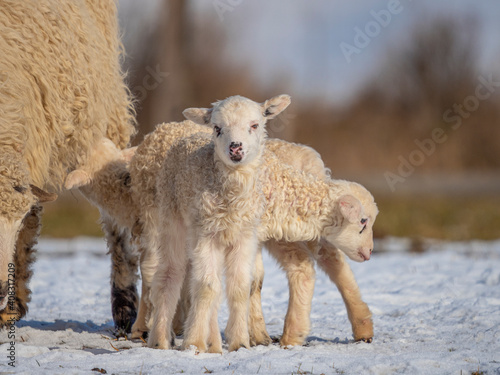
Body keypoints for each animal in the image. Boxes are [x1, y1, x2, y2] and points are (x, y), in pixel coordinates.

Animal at [146, 95, 292, 354]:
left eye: (254, 125)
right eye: (217, 128)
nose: (235, 147)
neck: (231, 198)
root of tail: (189, 135)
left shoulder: (245, 236)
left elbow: (240, 288)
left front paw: (239, 342)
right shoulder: (205, 233)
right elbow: (206, 287)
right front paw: (193, 344)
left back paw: (213, 343)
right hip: (172, 216)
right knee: (170, 273)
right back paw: (160, 340)